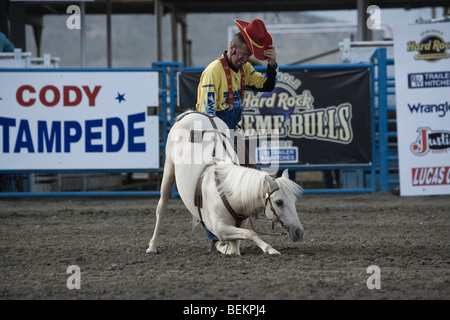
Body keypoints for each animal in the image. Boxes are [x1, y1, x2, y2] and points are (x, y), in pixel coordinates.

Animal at [146, 110, 304, 255]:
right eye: (279, 202)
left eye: (294, 200)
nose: (299, 232)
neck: (229, 192)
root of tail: (191, 113)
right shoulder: (220, 228)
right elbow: (250, 233)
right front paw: (270, 249)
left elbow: (235, 247)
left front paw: (223, 247)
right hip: (169, 168)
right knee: (161, 208)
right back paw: (152, 246)